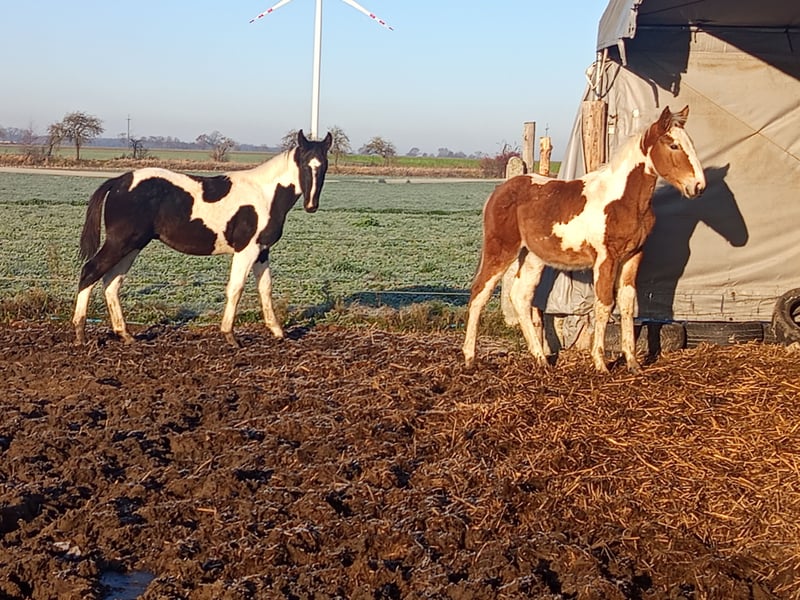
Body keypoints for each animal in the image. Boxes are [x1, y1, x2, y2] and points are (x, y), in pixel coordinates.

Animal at [72, 129, 332, 347]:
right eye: (303, 164)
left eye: (324, 166)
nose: (311, 205)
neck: (264, 194)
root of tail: (118, 182)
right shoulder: (246, 250)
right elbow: (236, 288)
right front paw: (230, 336)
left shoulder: (262, 251)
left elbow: (265, 288)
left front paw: (278, 331)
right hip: (120, 243)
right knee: (90, 272)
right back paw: (80, 333)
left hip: (133, 246)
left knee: (111, 283)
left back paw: (125, 334)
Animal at [462, 105, 705, 373]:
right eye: (673, 145)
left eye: (690, 143)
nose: (698, 186)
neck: (621, 200)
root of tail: (498, 191)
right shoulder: (606, 258)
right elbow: (604, 305)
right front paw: (600, 363)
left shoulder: (633, 256)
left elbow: (627, 304)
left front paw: (632, 364)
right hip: (502, 249)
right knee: (479, 293)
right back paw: (470, 358)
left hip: (533, 257)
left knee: (520, 297)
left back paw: (541, 359)